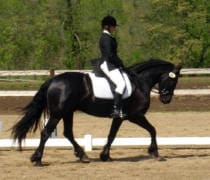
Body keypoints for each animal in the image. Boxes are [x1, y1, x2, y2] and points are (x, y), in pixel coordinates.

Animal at [11, 58, 182, 165]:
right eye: (172, 79)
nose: (166, 99)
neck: (139, 83)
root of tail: (53, 80)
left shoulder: (120, 117)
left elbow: (112, 134)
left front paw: (105, 156)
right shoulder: (135, 115)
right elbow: (152, 130)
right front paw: (155, 153)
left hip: (67, 112)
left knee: (68, 133)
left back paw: (83, 156)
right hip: (58, 113)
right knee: (46, 132)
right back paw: (38, 159)